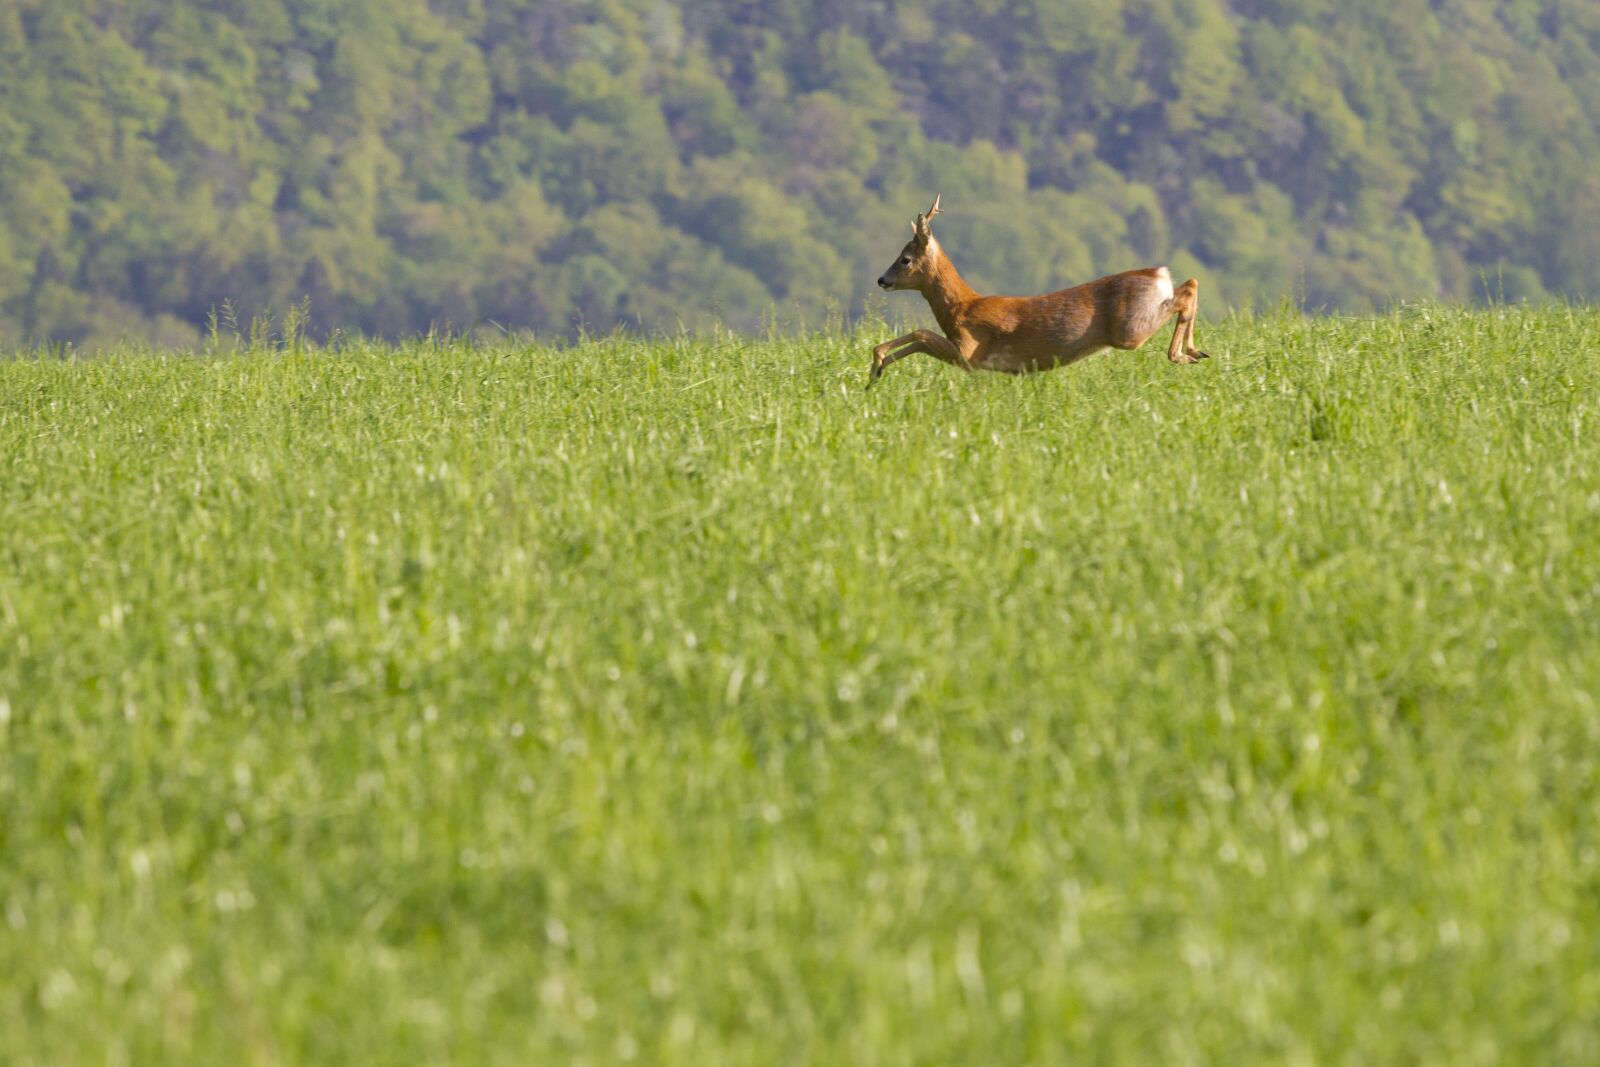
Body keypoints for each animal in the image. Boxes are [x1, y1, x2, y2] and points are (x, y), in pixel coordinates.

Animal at [870, 195, 1203, 388]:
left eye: (905, 258)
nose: (881, 280)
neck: (961, 307)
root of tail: (1159, 274)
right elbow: (920, 338)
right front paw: (876, 372)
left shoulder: (970, 353)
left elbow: (922, 335)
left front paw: (876, 364)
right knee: (1190, 283)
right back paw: (1195, 351)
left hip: (1130, 330)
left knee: (1186, 292)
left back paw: (1182, 354)